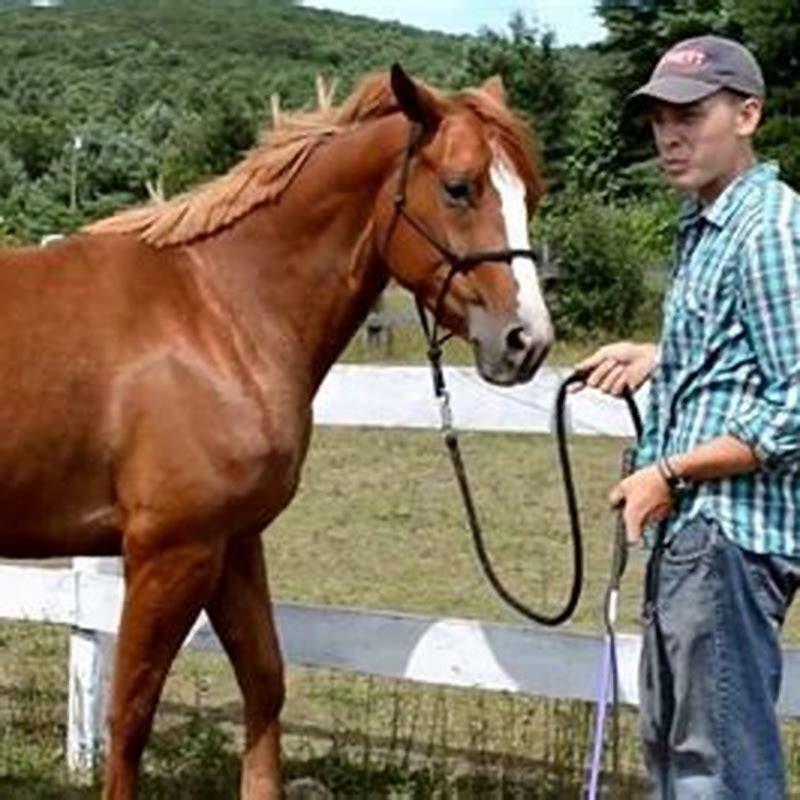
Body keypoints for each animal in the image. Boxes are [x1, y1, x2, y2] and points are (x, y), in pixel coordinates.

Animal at [0, 65, 553, 798]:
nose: (526, 341)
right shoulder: (171, 552)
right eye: (460, 186)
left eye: (530, 194)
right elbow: (130, 715)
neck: (217, 311)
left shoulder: (234, 542)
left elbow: (265, 684)